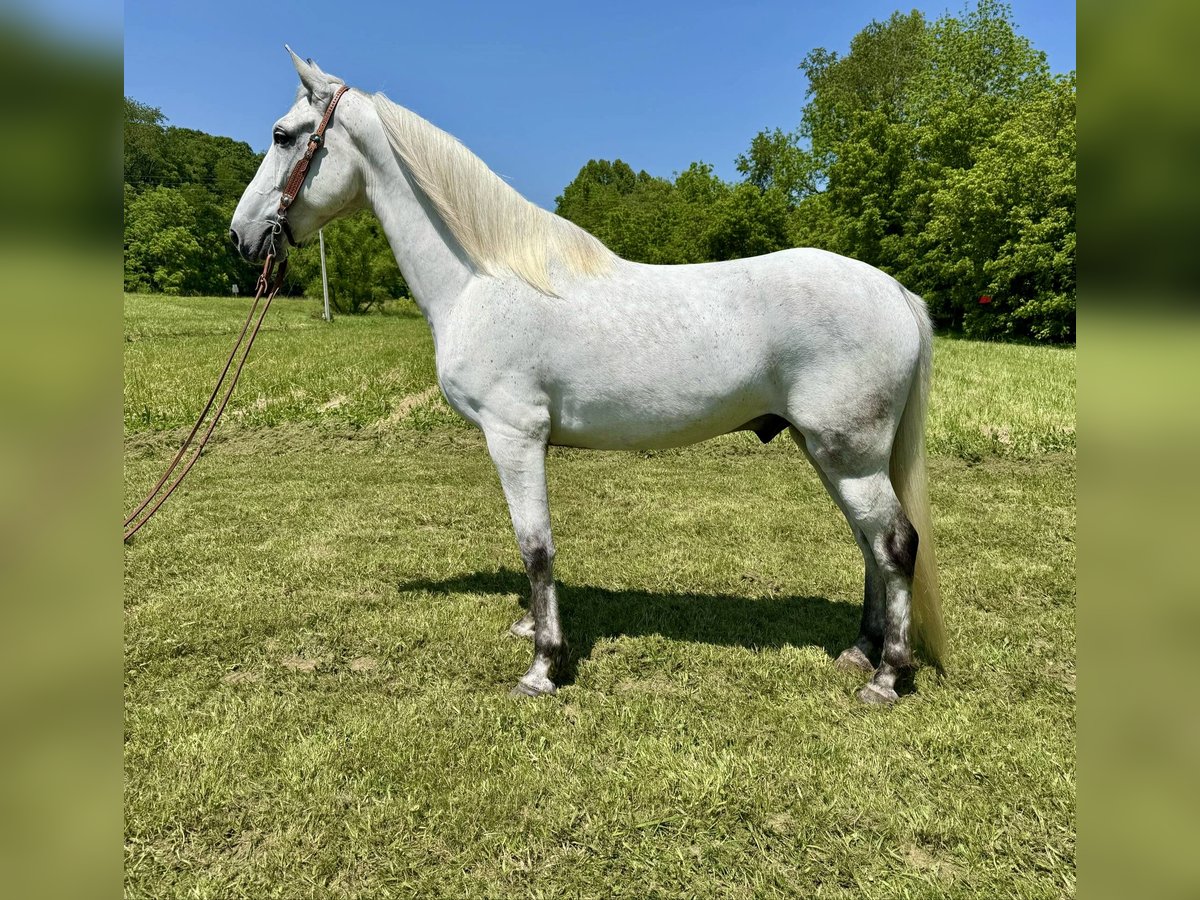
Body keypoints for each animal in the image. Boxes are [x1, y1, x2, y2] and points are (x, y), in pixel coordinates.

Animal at [230, 49, 946, 704]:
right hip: (833, 454)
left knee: (894, 543)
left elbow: (536, 547)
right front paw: (530, 630)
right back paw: (861, 650)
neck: (485, 277)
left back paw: (887, 675)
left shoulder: (513, 436)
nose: (241, 237)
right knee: (869, 545)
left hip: (848, 454)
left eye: (283, 135)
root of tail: (894, 292)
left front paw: (544, 666)